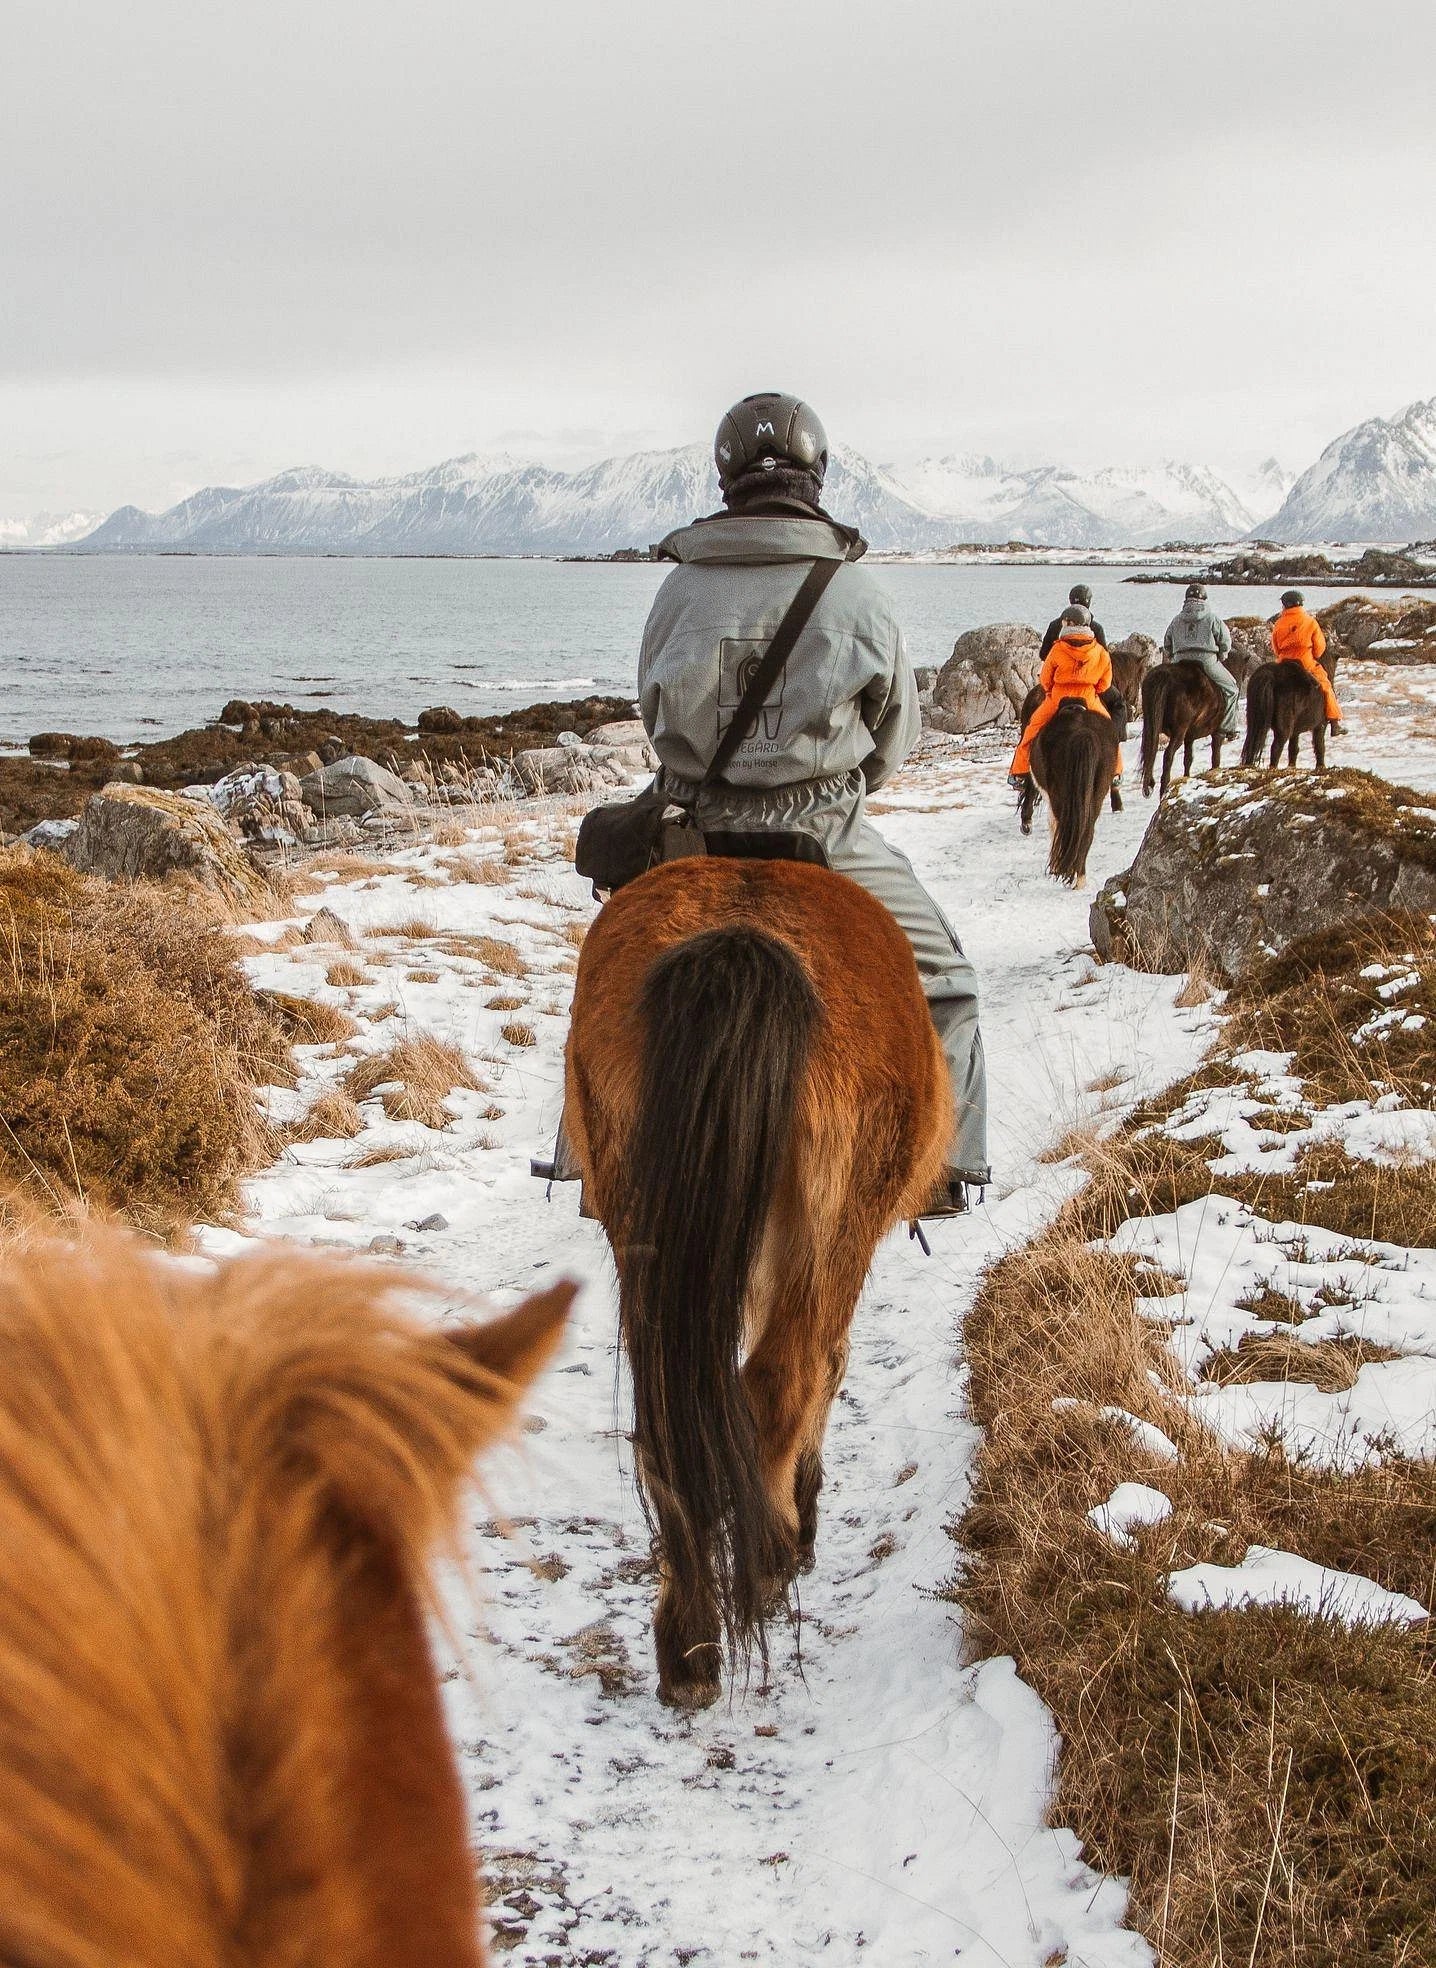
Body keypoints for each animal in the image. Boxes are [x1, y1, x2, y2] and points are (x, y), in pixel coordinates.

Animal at [562, 858, 952, 1708]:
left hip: (640, 1214)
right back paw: (771, 1562)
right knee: (786, 1378)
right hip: (833, 1227)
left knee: (668, 1416)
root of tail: (743, 941)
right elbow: (828, 1371)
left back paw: (688, 1649)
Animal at [1133, 661, 1227, 799]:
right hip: (1179, 731)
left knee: (1151, 751)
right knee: (1168, 755)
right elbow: (1215, 755)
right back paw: (1163, 788)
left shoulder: (1189, 737)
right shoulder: (1216, 732)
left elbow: (1188, 758)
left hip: (1151, 726)